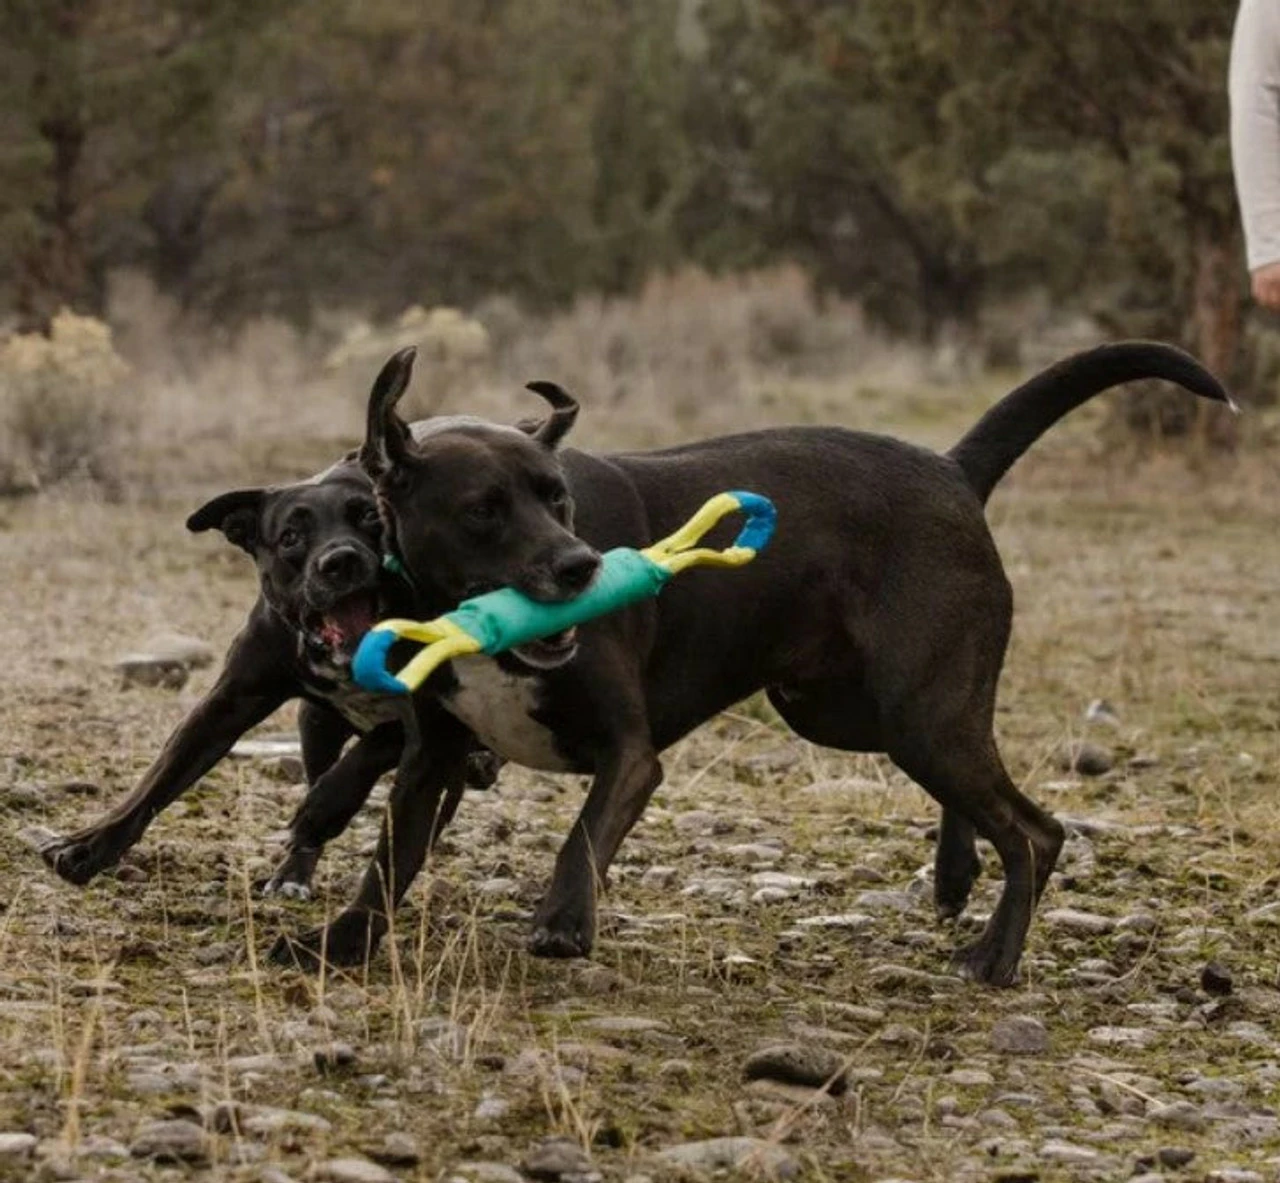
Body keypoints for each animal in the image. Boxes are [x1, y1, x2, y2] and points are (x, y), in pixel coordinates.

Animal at [38, 455, 499, 895]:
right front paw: (88, 847)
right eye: (290, 538)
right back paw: (293, 874)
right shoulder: (228, 704)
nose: (341, 561)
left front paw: (324, 808)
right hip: (315, 726)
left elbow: (378, 741)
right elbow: (158, 780)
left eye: (370, 516)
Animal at [270, 342, 1229, 986]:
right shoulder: (431, 759)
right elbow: (386, 863)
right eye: (482, 510)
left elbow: (582, 836)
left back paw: (993, 954)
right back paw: (958, 876)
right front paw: (337, 941)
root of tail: (952, 469)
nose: (583, 568)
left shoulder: (629, 755)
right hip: (853, 713)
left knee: (1036, 828)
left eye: (560, 499)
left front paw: (563, 922)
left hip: (919, 712)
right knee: (984, 797)